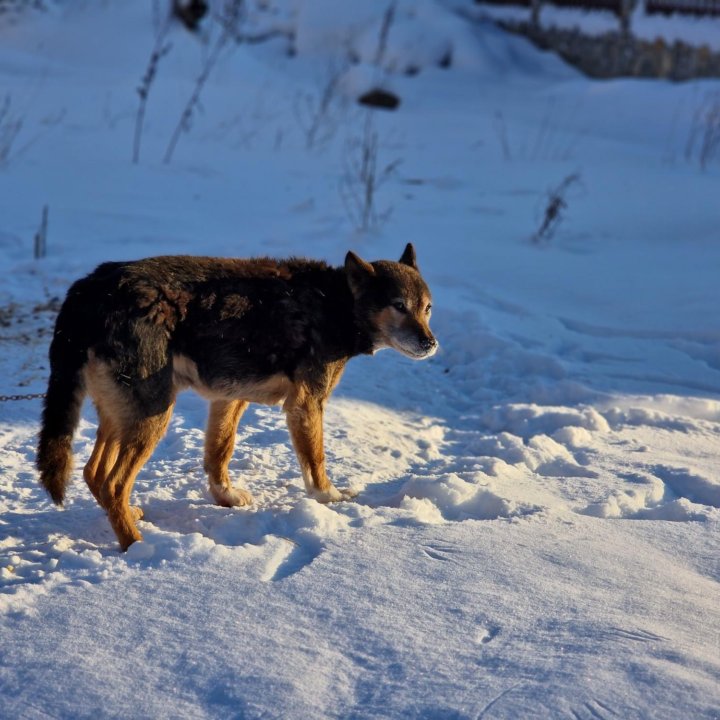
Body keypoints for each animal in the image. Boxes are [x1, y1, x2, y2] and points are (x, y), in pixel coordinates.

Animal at [36, 245, 436, 548]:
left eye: (426, 308)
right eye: (399, 305)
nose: (430, 343)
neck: (335, 303)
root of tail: (88, 289)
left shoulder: (229, 399)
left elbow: (219, 454)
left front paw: (225, 498)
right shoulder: (306, 405)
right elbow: (316, 465)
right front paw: (331, 499)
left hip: (122, 416)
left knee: (94, 474)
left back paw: (129, 518)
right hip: (153, 415)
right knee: (113, 483)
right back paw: (136, 546)